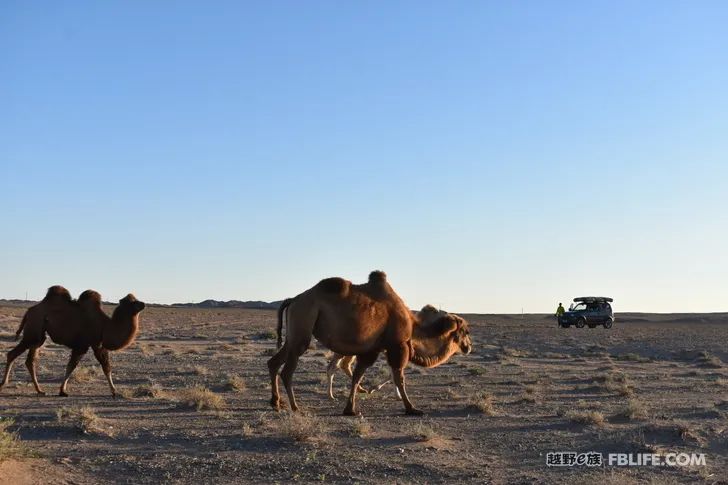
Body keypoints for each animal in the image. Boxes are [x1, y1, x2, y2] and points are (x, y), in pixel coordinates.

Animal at [0, 286, 145, 396]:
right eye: (133, 302)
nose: (143, 304)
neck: (105, 326)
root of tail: (29, 311)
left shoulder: (89, 345)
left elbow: (74, 366)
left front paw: (62, 390)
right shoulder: (91, 344)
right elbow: (98, 366)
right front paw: (114, 392)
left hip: (39, 336)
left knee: (30, 361)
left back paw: (39, 390)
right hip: (33, 332)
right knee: (12, 354)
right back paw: (4, 384)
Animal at [324, 304, 472, 398]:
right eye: (465, 331)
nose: (469, 347)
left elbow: (393, 372)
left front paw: (392, 394)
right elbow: (393, 372)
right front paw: (378, 390)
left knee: (344, 365)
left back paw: (359, 389)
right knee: (333, 366)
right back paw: (331, 395)